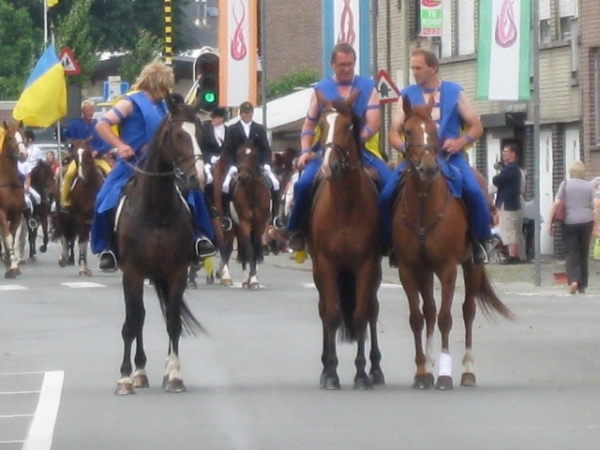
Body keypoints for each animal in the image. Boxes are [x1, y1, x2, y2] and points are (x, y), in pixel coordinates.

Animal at [55, 139, 104, 276]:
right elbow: (81, 241)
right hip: (63, 215)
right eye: (75, 157)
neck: (89, 187)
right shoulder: (80, 217)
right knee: (65, 234)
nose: (82, 176)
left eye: (88, 153)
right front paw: (82, 268)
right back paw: (64, 259)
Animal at [113, 92, 205, 394]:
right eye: (177, 135)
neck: (157, 210)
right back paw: (138, 372)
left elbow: (173, 323)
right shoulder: (131, 273)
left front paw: (174, 375)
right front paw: (124, 378)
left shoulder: (176, 272)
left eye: (200, 132)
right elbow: (131, 323)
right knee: (138, 318)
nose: (197, 178)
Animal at [217, 137, 270, 290]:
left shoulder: (260, 224)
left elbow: (256, 248)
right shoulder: (244, 222)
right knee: (231, 247)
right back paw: (231, 277)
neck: (252, 193)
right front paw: (252, 279)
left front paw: (253, 279)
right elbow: (249, 250)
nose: (243, 178)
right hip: (228, 223)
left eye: (254, 156)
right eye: (238, 155)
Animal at [392, 97, 512, 390]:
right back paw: (430, 365)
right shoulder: (409, 269)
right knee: (429, 312)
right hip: (426, 272)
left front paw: (445, 375)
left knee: (468, 310)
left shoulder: (447, 269)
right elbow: (418, 318)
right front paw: (422, 372)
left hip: (471, 266)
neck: (424, 205)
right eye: (408, 131)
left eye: (434, 132)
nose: (428, 168)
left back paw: (467, 370)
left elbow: (447, 318)